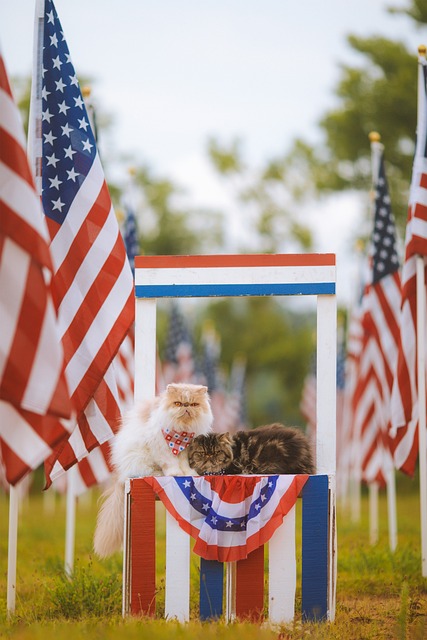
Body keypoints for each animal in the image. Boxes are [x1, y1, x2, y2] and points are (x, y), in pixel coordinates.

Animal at [94, 382, 214, 556]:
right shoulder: (162, 448)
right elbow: (171, 464)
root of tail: (121, 475)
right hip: (140, 458)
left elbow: (185, 465)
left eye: (193, 405)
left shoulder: (186, 451)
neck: (180, 434)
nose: (186, 407)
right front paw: (175, 473)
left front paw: (188, 473)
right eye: (178, 403)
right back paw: (158, 473)